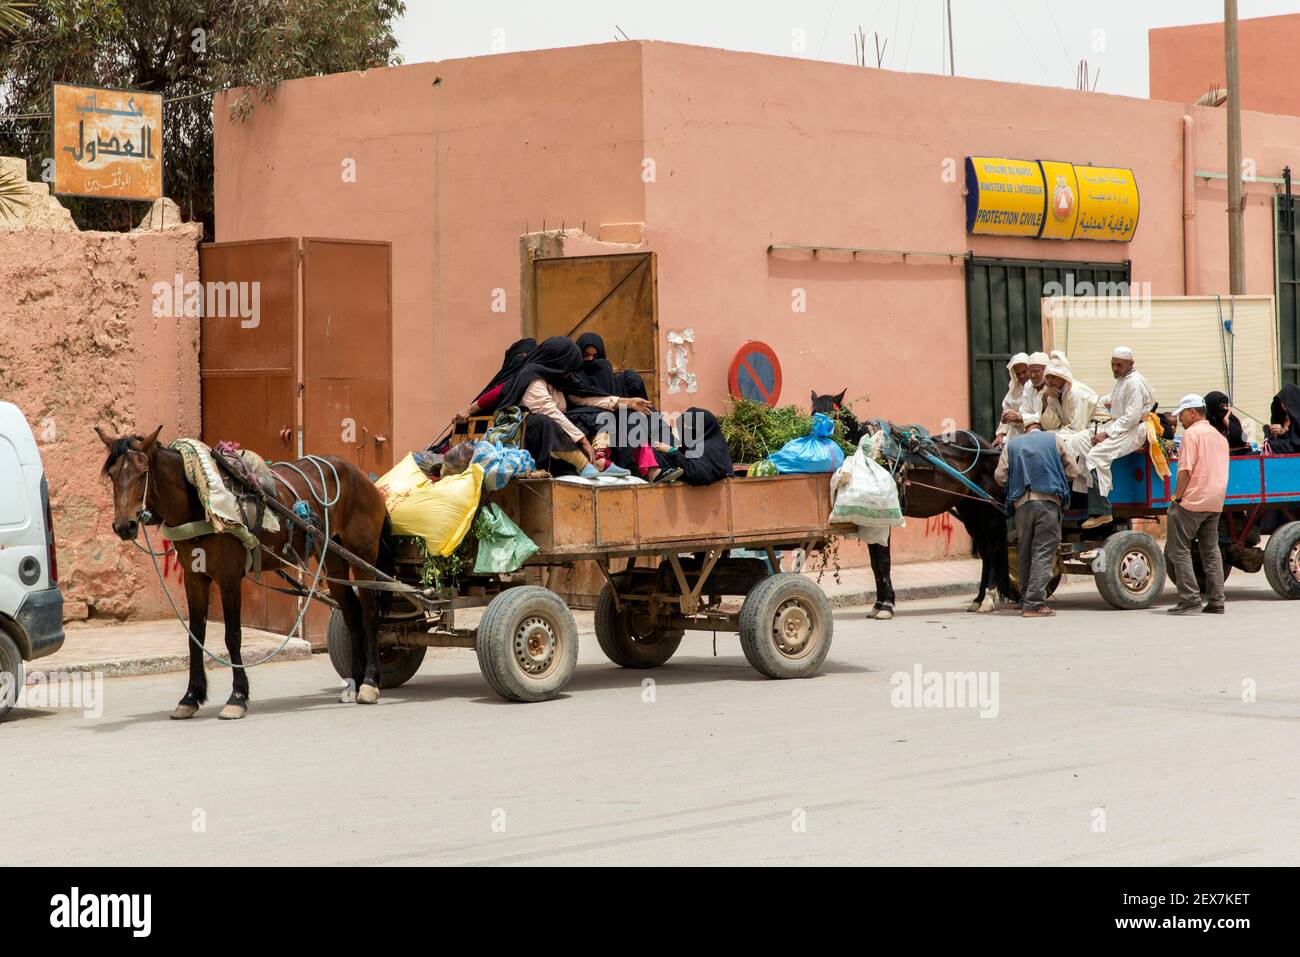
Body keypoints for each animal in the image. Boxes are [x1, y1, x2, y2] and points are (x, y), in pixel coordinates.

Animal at [97, 429, 390, 717]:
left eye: (143, 473)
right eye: (112, 474)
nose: (124, 526)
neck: (200, 499)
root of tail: (362, 476)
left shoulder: (229, 577)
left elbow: (233, 636)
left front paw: (237, 697)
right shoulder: (195, 577)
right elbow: (195, 636)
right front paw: (190, 697)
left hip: (363, 556)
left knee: (369, 614)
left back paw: (370, 683)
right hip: (332, 557)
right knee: (351, 614)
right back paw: (354, 682)